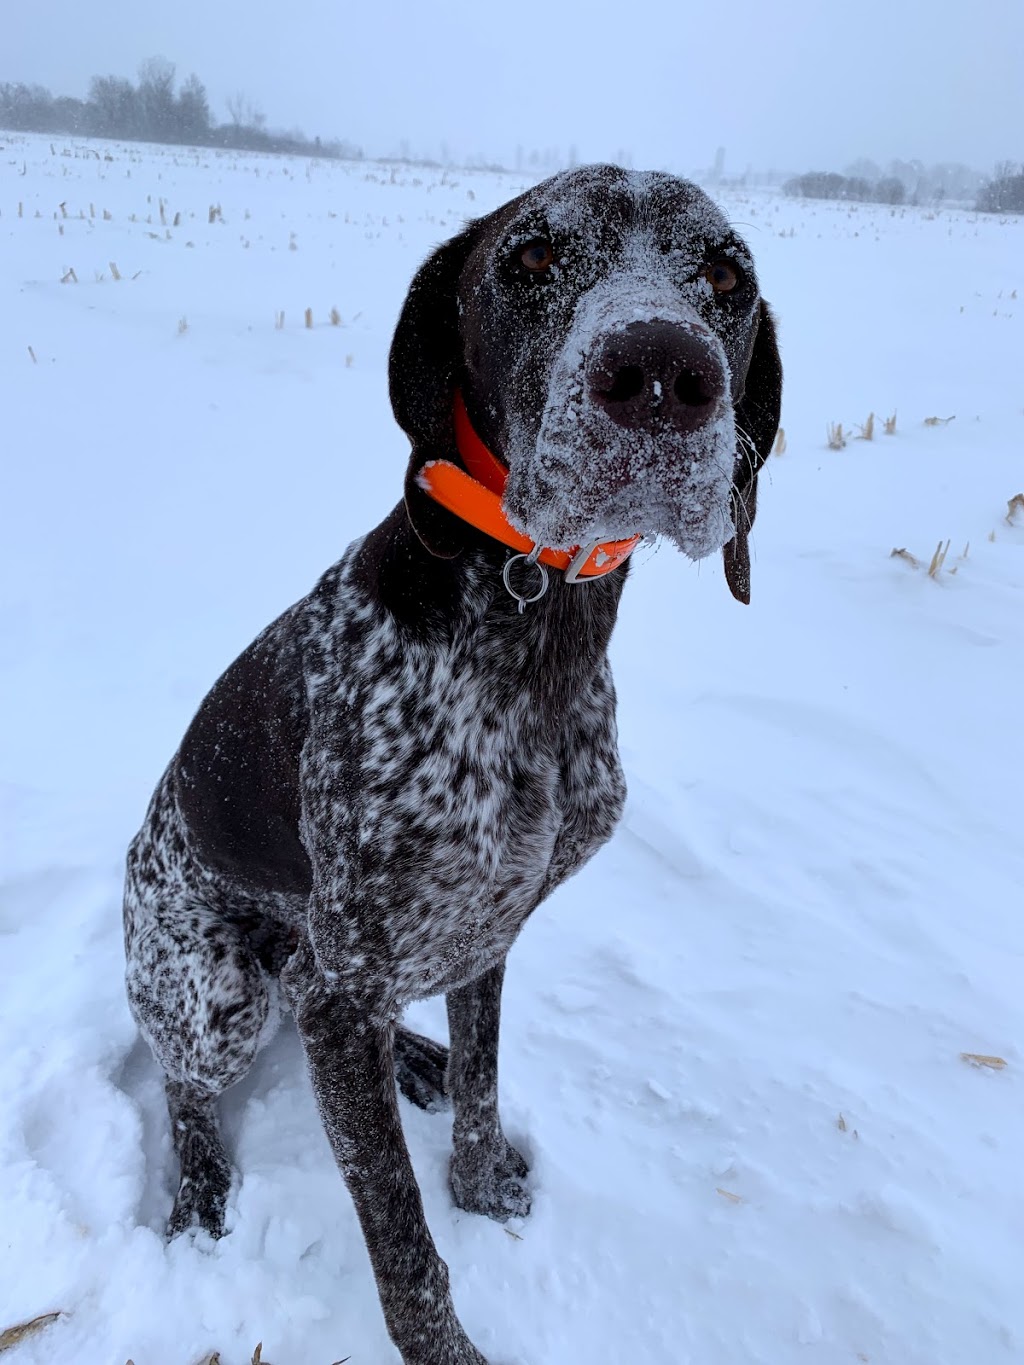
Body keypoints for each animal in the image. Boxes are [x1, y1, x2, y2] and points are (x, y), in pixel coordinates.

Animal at [128, 165, 786, 1359]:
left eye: (724, 277)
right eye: (531, 257)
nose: (663, 376)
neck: (539, 638)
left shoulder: (488, 930)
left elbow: (482, 1080)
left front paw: (481, 1183)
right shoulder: (343, 980)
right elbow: (397, 1228)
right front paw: (445, 1342)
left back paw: (414, 1060)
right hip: (216, 989)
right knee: (184, 1081)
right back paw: (199, 1188)